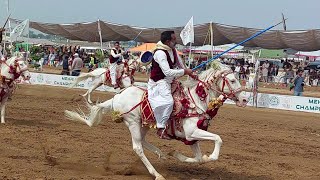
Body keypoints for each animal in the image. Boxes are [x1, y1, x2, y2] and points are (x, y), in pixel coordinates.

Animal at [66, 61, 249, 179]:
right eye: (233, 80)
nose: (245, 99)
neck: (196, 99)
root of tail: (117, 97)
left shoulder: (190, 137)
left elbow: (198, 159)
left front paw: (176, 154)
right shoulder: (192, 132)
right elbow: (218, 140)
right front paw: (210, 156)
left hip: (144, 124)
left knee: (142, 141)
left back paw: (161, 153)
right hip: (132, 122)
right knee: (137, 147)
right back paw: (157, 174)